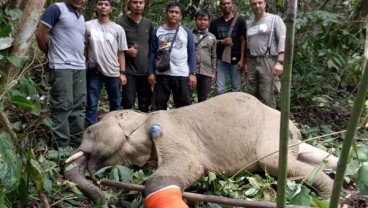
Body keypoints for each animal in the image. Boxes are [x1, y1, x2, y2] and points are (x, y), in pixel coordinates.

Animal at [63, 92, 336, 204]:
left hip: (271, 135)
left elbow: (192, 167)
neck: (143, 117)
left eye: (89, 131)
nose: (105, 197)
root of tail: (296, 129)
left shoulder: (169, 131)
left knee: (275, 163)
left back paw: (326, 197)